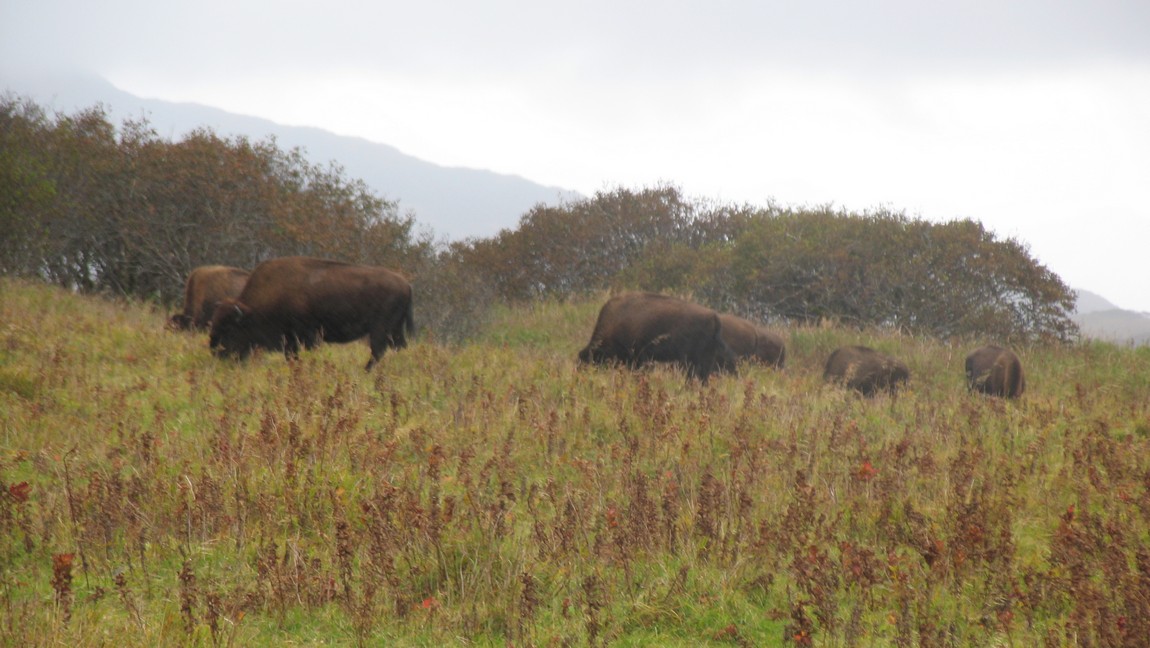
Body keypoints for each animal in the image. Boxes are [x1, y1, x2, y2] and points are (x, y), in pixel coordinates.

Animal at [208, 256, 414, 370]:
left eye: (229, 328)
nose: (215, 353)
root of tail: (405, 284)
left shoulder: (307, 335)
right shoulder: (290, 339)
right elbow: (291, 356)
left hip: (380, 329)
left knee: (378, 350)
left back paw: (366, 371)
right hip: (394, 330)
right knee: (397, 347)